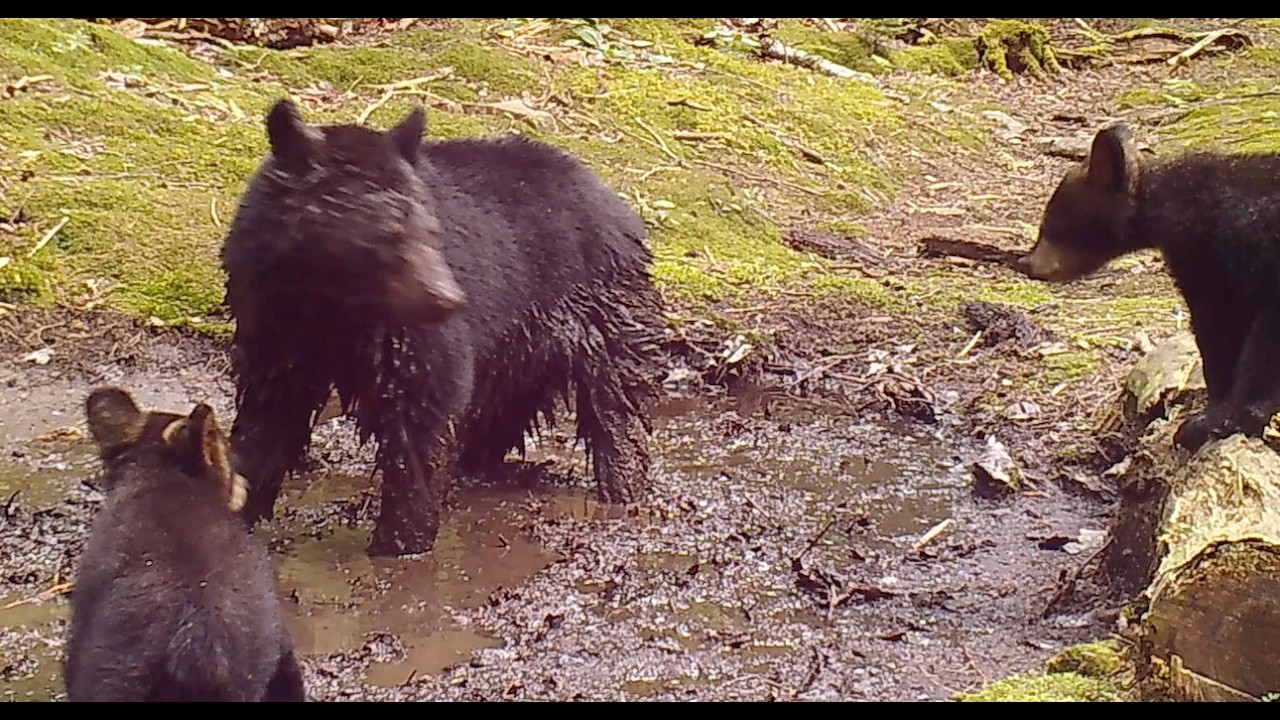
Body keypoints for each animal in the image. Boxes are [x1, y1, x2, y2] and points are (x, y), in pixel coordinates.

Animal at [221, 98, 664, 557]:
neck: (330, 302)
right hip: (515, 346)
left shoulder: (409, 335)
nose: (449, 299)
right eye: (386, 235)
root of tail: (620, 205)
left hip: (599, 303)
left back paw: (623, 484)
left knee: (615, 400)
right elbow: (267, 415)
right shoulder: (274, 324)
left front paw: (400, 541)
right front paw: (238, 504)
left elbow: (424, 407)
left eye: (431, 229)